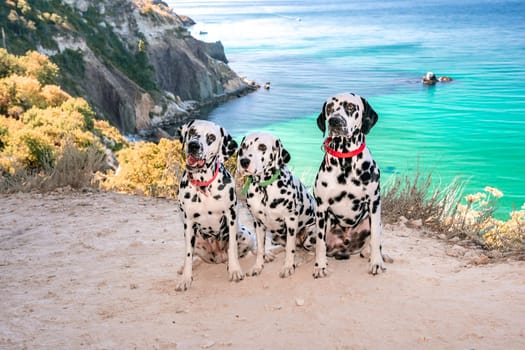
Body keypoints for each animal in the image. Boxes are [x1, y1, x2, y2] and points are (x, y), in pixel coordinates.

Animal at [175, 119, 255, 292]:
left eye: (211, 137)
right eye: (192, 131)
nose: (193, 145)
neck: (204, 186)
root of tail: (218, 257)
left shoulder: (231, 216)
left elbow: (232, 248)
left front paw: (235, 271)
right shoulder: (188, 222)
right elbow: (188, 254)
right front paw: (185, 278)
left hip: (245, 234)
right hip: (196, 240)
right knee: (193, 255)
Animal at [236, 133, 316, 278]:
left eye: (262, 146)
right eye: (244, 146)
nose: (244, 161)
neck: (264, 188)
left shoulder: (291, 220)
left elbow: (290, 248)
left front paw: (288, 266)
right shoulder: (258, 223)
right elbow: (261, 249)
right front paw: (258, 266)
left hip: (310, 234)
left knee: (310, 252)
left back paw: (300, 260)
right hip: (275, 236)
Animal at [312, 93, 388, 278]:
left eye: (351, 107)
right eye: (329, 108)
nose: (335, 121)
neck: (345, 160)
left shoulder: (374, 203)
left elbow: (376, 238)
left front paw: (376, 262)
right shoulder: (321, 208)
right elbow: (320, 243)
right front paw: (320, 266)